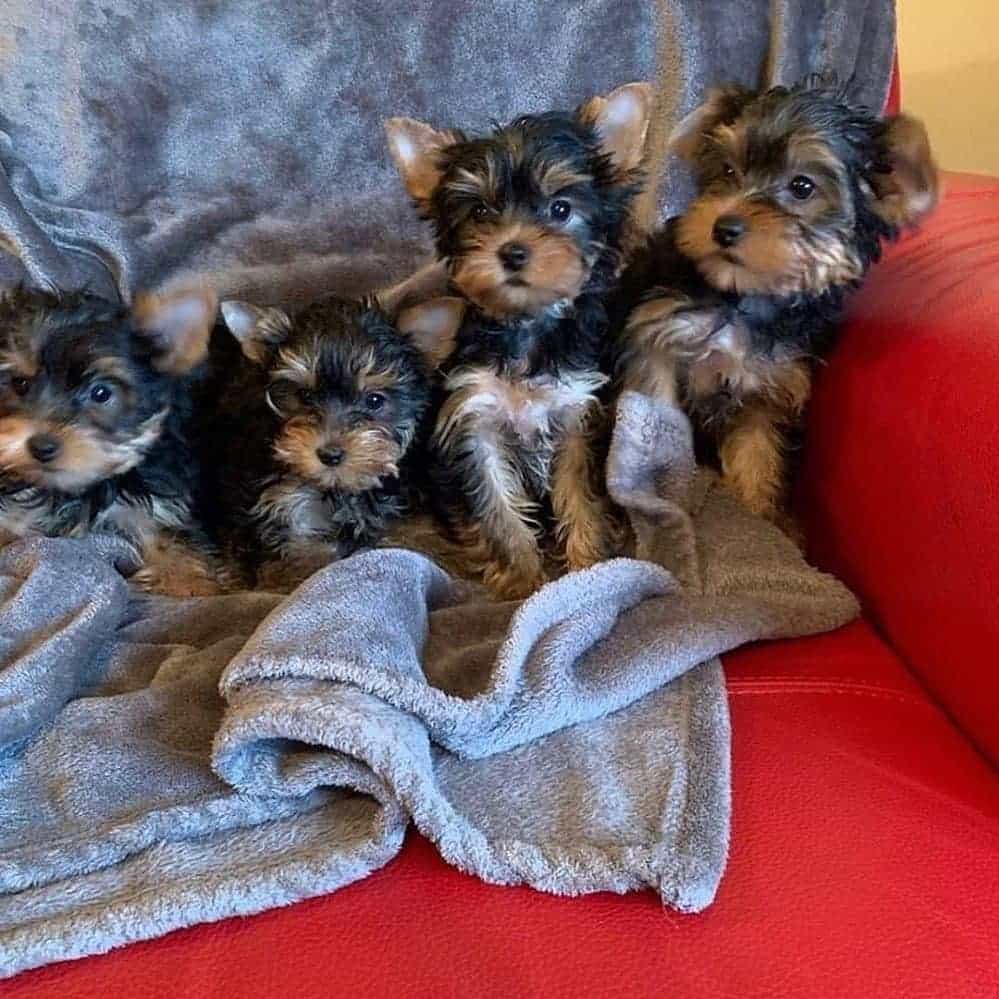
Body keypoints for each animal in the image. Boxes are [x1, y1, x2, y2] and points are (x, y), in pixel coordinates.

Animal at [0, 284, 221, 595]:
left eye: (101, 393)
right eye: (20, 384)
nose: (41, 447)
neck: (76, 490)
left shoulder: (160, 505)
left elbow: (175, 542)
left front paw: (192, 585)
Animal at [208, 293, 462, 588]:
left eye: (374, 400)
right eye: (305, 396)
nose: (330, 454)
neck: (341, 489)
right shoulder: (286, 506)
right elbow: (304, 555)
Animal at [385, 82, 652, 598]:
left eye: (560, 209)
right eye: (481, 211)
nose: (512, 251)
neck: (524, 325)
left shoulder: (575, 413)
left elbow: (578, 491)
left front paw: (588, 566)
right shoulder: (474, 417)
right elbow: (495, 504)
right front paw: (523, 578)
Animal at [617, 81, 938, 522]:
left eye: (802, 187)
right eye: (728, 170)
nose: (724, 227)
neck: (750, 298)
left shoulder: (766, 388)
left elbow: (757, 455)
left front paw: (757, 508)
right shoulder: (658, 336)